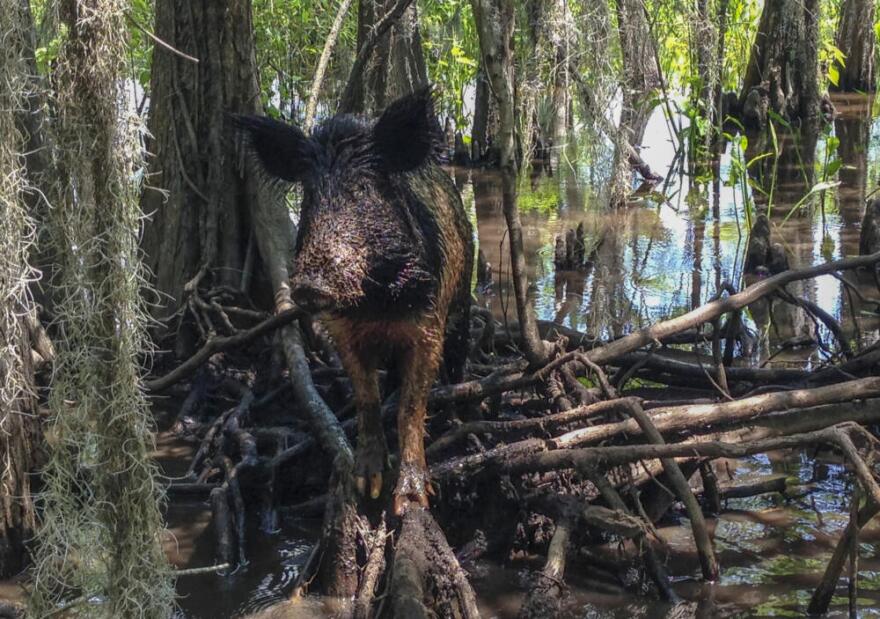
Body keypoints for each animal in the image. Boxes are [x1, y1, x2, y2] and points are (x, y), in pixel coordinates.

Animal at [233, 87, 473, 514]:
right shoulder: (343, 331)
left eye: (362, 190)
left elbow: (412, 407)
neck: (375, 303)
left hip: (463, 297)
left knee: (458, 354)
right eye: (309, 195)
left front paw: (410, 500)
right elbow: (366, 398)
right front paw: (367, 485)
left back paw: (457, 409)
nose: (308, 285)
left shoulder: (427, 323)